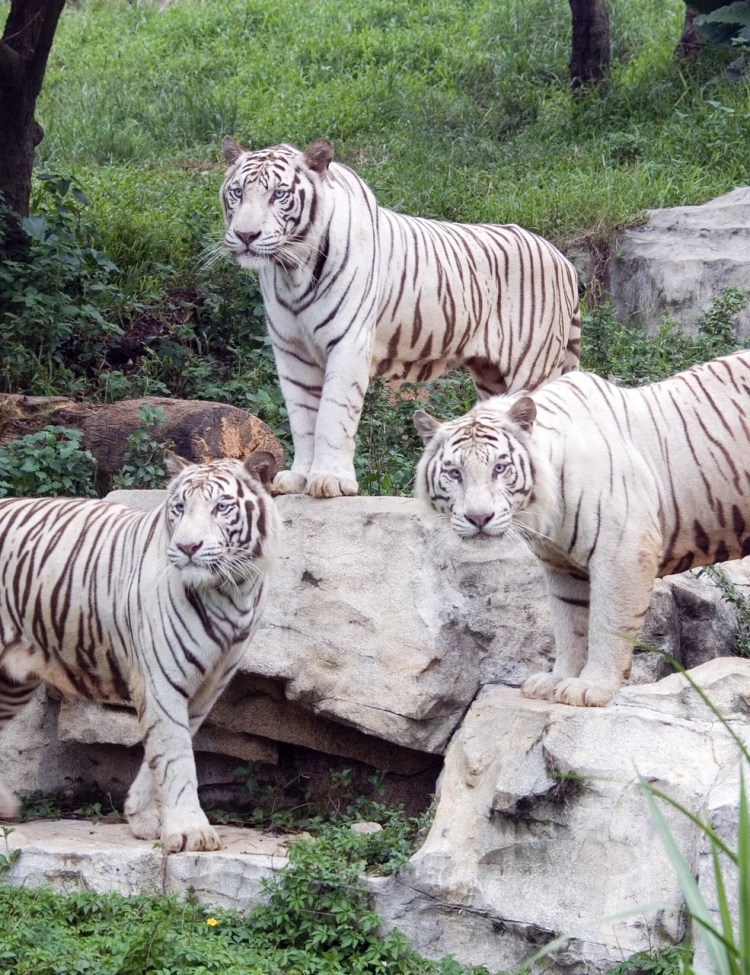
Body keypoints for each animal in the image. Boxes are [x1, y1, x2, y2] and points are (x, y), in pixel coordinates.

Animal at [0, 451, 282, 852]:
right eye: (179, 507)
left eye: (221, 507)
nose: (188, 547)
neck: (232, 590)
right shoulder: (161, 679)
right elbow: (176, 756)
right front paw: (190, 831)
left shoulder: (209, 685)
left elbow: (169, 746)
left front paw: (141, 817)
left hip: (11, 680)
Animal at [219, 136, 581, 499]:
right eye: (237, 192)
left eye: (279, 194)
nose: (246, 235)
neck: (292, 269)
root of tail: (562, 259)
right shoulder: (291, 350)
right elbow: (303, 417)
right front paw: (299, 477)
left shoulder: (348, 343)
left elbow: (333, 415)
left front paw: (330, 480)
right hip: (492, 376)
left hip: (532, 367)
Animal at [414, 349, 750, 707]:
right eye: (454, 473)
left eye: (499, 468)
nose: (479, 518)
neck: (546, 508)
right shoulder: (561, 566)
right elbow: (568, 627)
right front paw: (556, 681)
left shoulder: (624, 553)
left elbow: (607, 624)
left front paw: (591, 688)